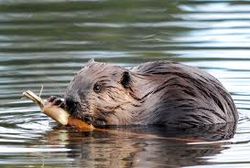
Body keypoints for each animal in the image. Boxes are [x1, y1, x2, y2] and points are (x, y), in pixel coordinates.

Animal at [48, 60, 238, 129]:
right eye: (74, 79)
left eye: (98, 87)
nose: (71, 101)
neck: (144, 94)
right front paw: (56, 101)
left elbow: (120, 120)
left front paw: (91, 120)